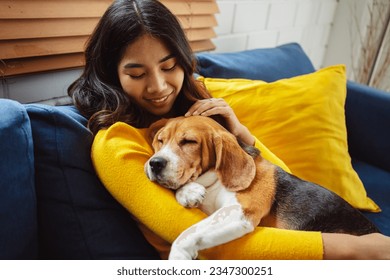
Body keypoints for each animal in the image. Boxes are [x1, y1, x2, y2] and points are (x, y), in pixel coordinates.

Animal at [145, 115, 380, 260]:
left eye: (189, 142)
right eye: (160, 140)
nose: (155, 163)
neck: (214, 181)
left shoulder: (240, 212)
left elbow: (187, 234)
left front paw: (178, 257)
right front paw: (188, 191)